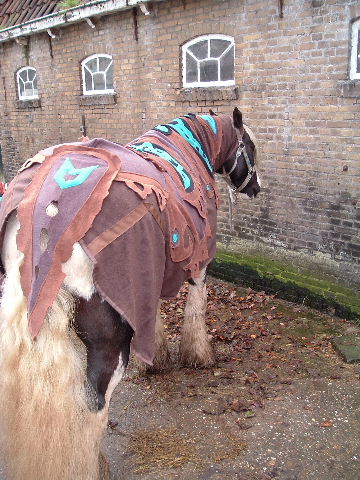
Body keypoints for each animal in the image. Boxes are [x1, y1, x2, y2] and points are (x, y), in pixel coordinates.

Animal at [0, 107, 258, 478]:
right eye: (250, 145)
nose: (256, 187)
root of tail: (45, 218)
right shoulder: (199, 265)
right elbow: (196, 309)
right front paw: (199, 356)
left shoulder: (150, 278)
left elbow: (156, 316)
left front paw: (158, 358)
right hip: (109, 344)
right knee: (94, 404)